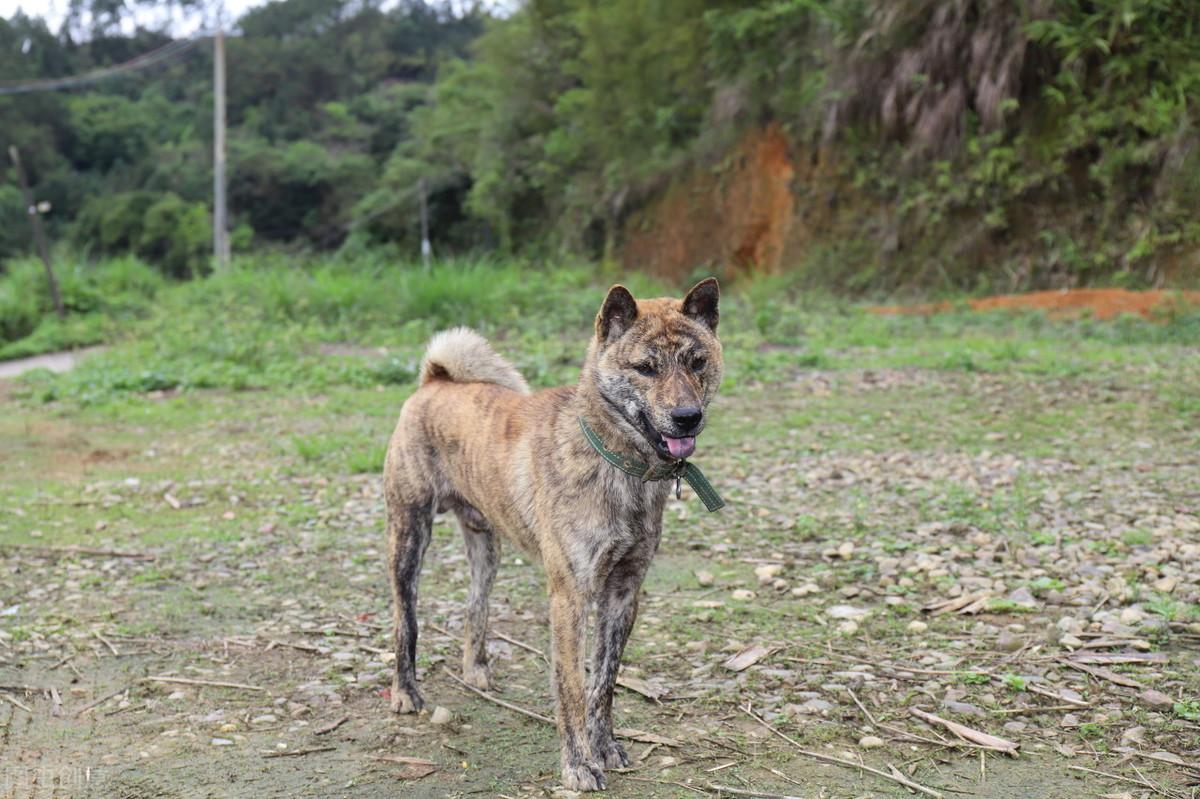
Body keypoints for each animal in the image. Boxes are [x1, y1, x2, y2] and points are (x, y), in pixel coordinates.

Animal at [384, 277, 720, 787]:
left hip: (486, 546)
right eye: (645, 367)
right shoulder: (570, 597)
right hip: (408, 537)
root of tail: (436, 380)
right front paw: (578, 765)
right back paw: (406, 692)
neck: (615, 463)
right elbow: (573, 688)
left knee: (475, 605)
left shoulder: (624, 593)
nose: (687, 417)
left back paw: (476, 670)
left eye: (697, 362)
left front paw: (606, 748)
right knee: (406, 620)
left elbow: (604, 683)